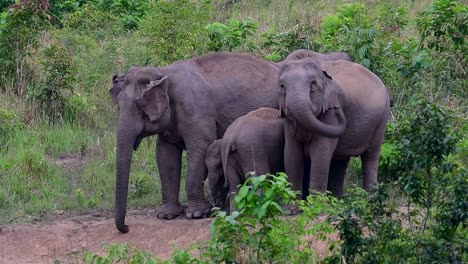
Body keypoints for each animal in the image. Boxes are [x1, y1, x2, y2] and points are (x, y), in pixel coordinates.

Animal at [107, 52, 280, 233]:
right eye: (119, 107)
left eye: (141, 109)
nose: (126, 227)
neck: (164, 72)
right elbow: (165, 156)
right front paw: (166, 215)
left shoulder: (196, 112)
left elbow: (199, 147)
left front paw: (196, 214)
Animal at [280, 58, 390, 198]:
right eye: (282, 87)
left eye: (313, 85)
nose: (341, 113)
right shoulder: (288, 122)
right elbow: (291, 154)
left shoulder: (330, 112)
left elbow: (320, 153)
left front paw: (315, 203)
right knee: (341, 160)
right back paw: (338, 200)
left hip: (382, 118)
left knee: (371, 155)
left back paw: (370, 198)